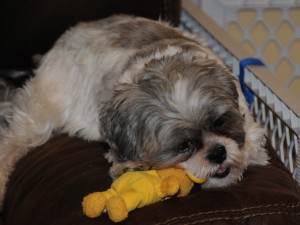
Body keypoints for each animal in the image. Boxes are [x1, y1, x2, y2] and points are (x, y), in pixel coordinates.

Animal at [0, 14, 270, 207]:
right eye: (183, 146)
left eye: (220, 122)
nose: (218, 153)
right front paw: (132, 166)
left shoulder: (252, 131)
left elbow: (252, 148)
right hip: (41, 113)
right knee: (10, 143)